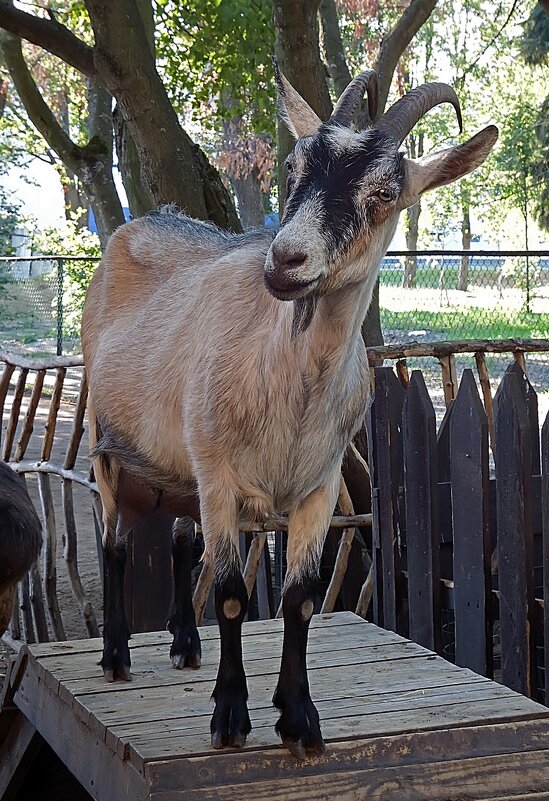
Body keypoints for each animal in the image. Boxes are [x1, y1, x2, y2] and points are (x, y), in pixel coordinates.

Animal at [81, 67, 496, 756]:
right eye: (296, 164)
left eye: (385, 193)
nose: (285, 261)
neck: (288, 393)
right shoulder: (220, 476)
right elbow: (229, 595)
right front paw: (230, 717)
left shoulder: (318, 489)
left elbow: (299, 599)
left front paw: (299, 718)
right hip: (104, 437)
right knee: (115, 542)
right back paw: (116, 656)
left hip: (181, 466)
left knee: (179, 539)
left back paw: (185, 644)